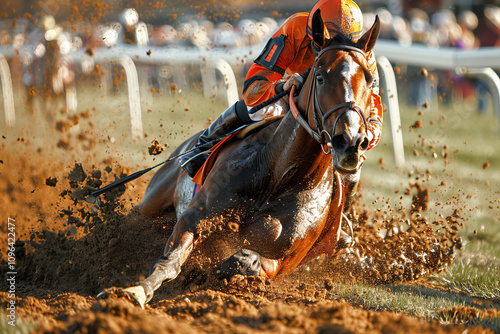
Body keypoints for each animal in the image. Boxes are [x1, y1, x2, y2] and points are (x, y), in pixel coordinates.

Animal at [104, 12, 378, 308]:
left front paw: (225, 267)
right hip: (151, 203)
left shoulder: (285, 261)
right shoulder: (197, 215)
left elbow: (248, 259)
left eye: (370, 79)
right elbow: (170, 261)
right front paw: (135, 291)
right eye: (319, 77)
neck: (280, 174)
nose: (349, 141)